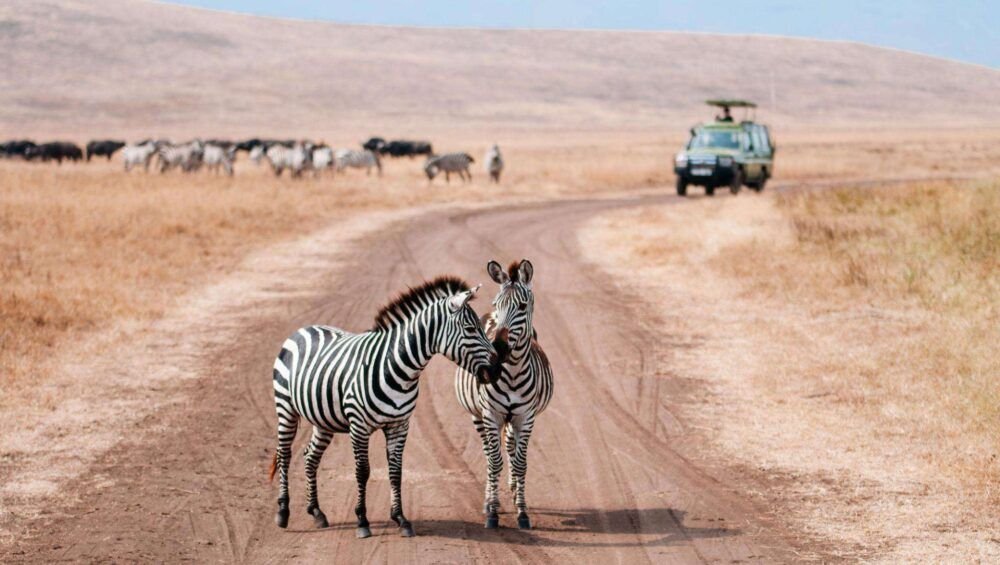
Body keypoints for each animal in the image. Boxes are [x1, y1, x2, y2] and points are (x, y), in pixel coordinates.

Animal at [270, 276, 504, 536]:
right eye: (471, 329)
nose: (497, 369)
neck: (397, 368)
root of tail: (303, 329)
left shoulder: (399, 425)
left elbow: (395, 470)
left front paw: (401, 518)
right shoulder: (359, 425)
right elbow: (362, 471)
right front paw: (362, 521)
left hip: (323, 419)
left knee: (310, 456)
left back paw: (317, 512)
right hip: (285, 408)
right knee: (285, 454)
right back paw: (283, 512)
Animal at [456, 258, 556, 532]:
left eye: (522, 306)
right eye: (496, 304)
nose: (498, 348)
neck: (511, 373)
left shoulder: (526, 416)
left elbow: (520, 463)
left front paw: (522, 511)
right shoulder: (491, 414)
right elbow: (494, 461)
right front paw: (492, 511)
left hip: (513, 419)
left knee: (510, 447)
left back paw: (511, 490)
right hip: (478, 416)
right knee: (489, 453)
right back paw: (490, 500)